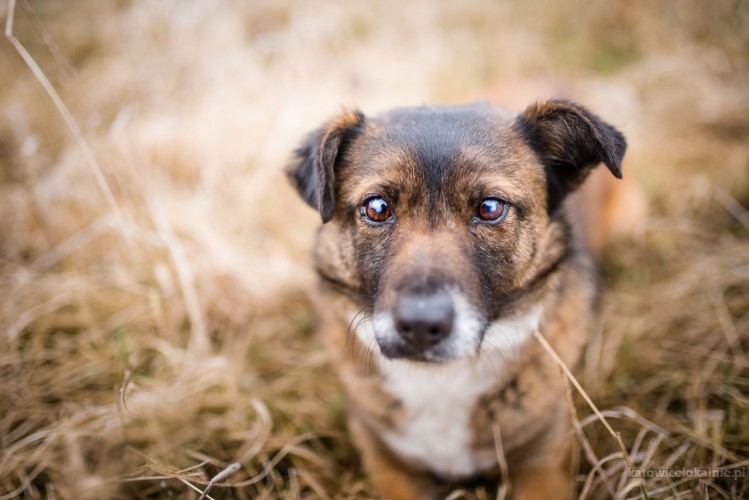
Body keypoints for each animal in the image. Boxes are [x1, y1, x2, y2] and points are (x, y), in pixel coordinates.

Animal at [286, 99, 624, 498]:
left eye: (490, 208)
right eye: (377, 208)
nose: (420, 326)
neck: (441, 379)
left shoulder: (545, 462)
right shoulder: (387, 463)